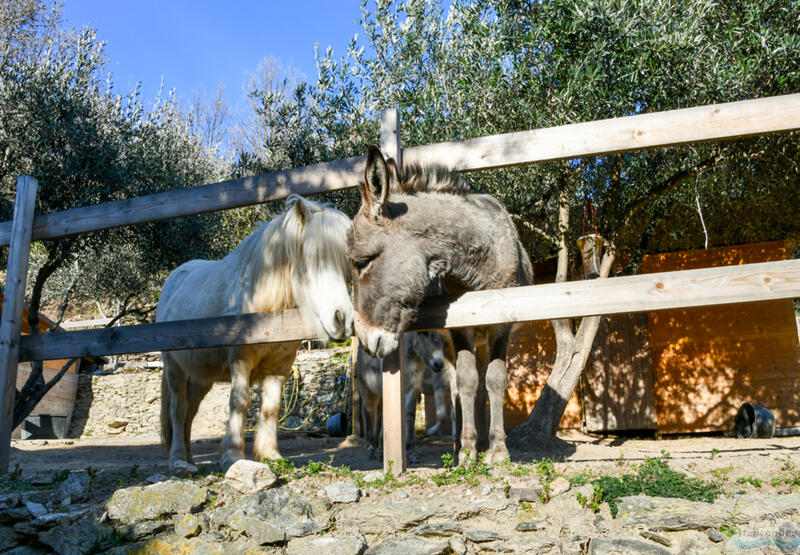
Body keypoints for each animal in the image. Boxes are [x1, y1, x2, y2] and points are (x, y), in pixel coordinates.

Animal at [158, 195, 352, 474]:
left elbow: (271, 408)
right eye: (312, 261)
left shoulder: (280, 367)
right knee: (178, 409)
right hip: (175, 369)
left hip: (202, 377)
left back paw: (191, 460)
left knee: (189, 412)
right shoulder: (241, 361)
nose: (343, 320)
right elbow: (240, 402)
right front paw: (232, 456)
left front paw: (269, 454)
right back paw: (179, 461)